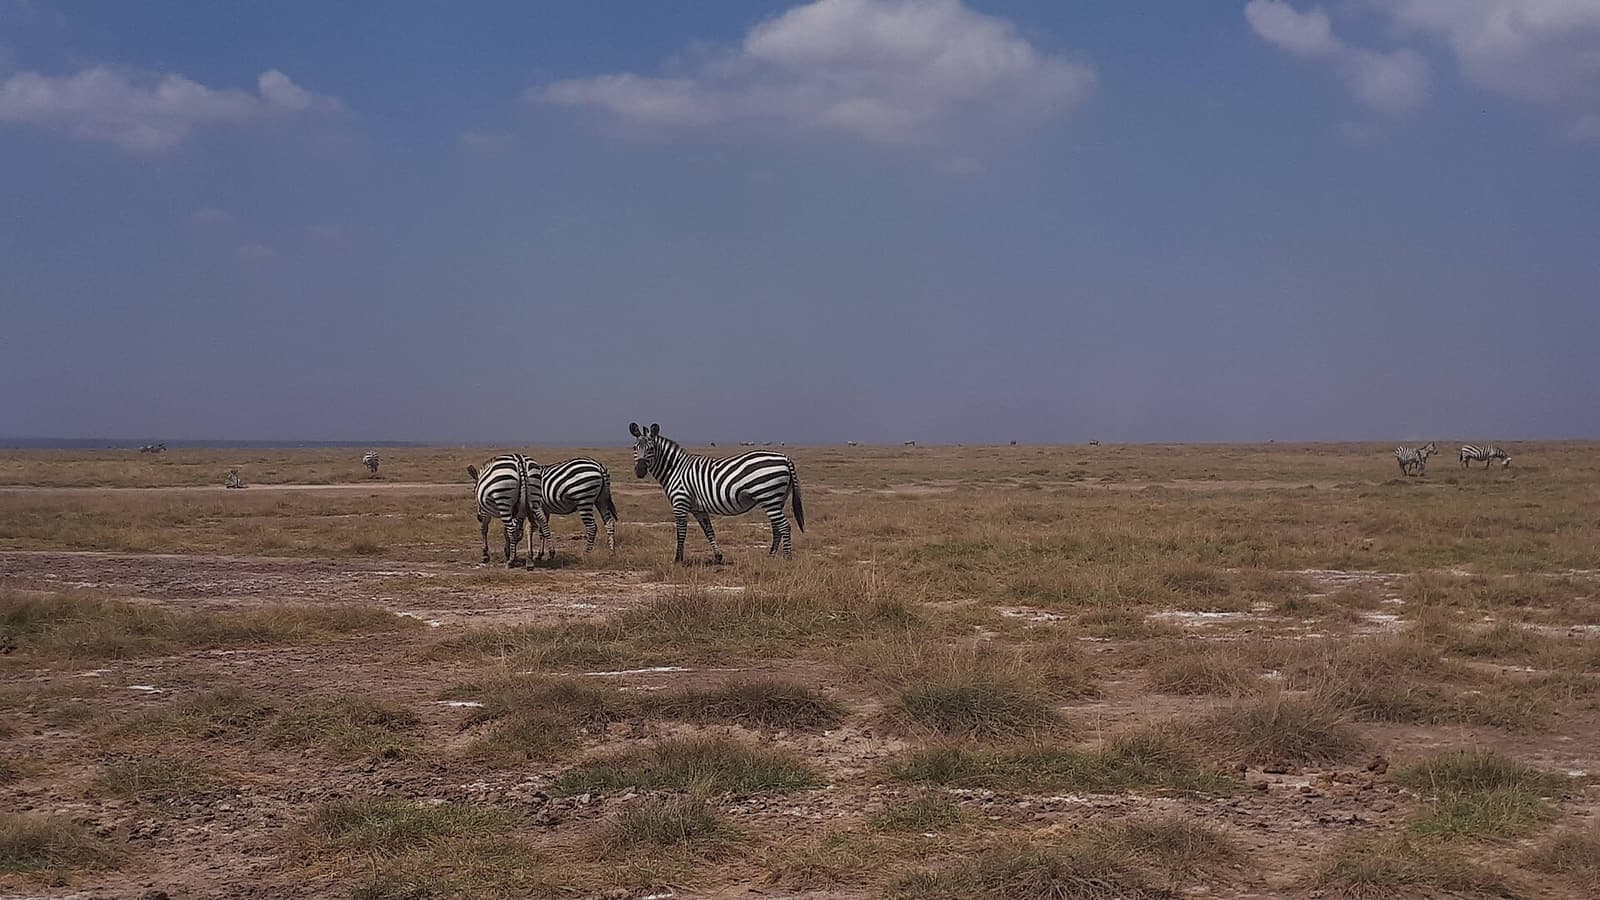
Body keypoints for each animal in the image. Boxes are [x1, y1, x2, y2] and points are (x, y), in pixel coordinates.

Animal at [629, 422, 804, 564]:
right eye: (635, 448)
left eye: (651, 449)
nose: (640, 471)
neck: (675, 469)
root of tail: (785, 457)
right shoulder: (698, 508)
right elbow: (709, 531)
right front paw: (718, 557)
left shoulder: (680, 502)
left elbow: (681, 532)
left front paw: (678, 560)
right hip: (776, 499)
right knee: (777, 527)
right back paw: (771, 557)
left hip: (768, 497)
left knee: (784, 526)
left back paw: (787, 559)